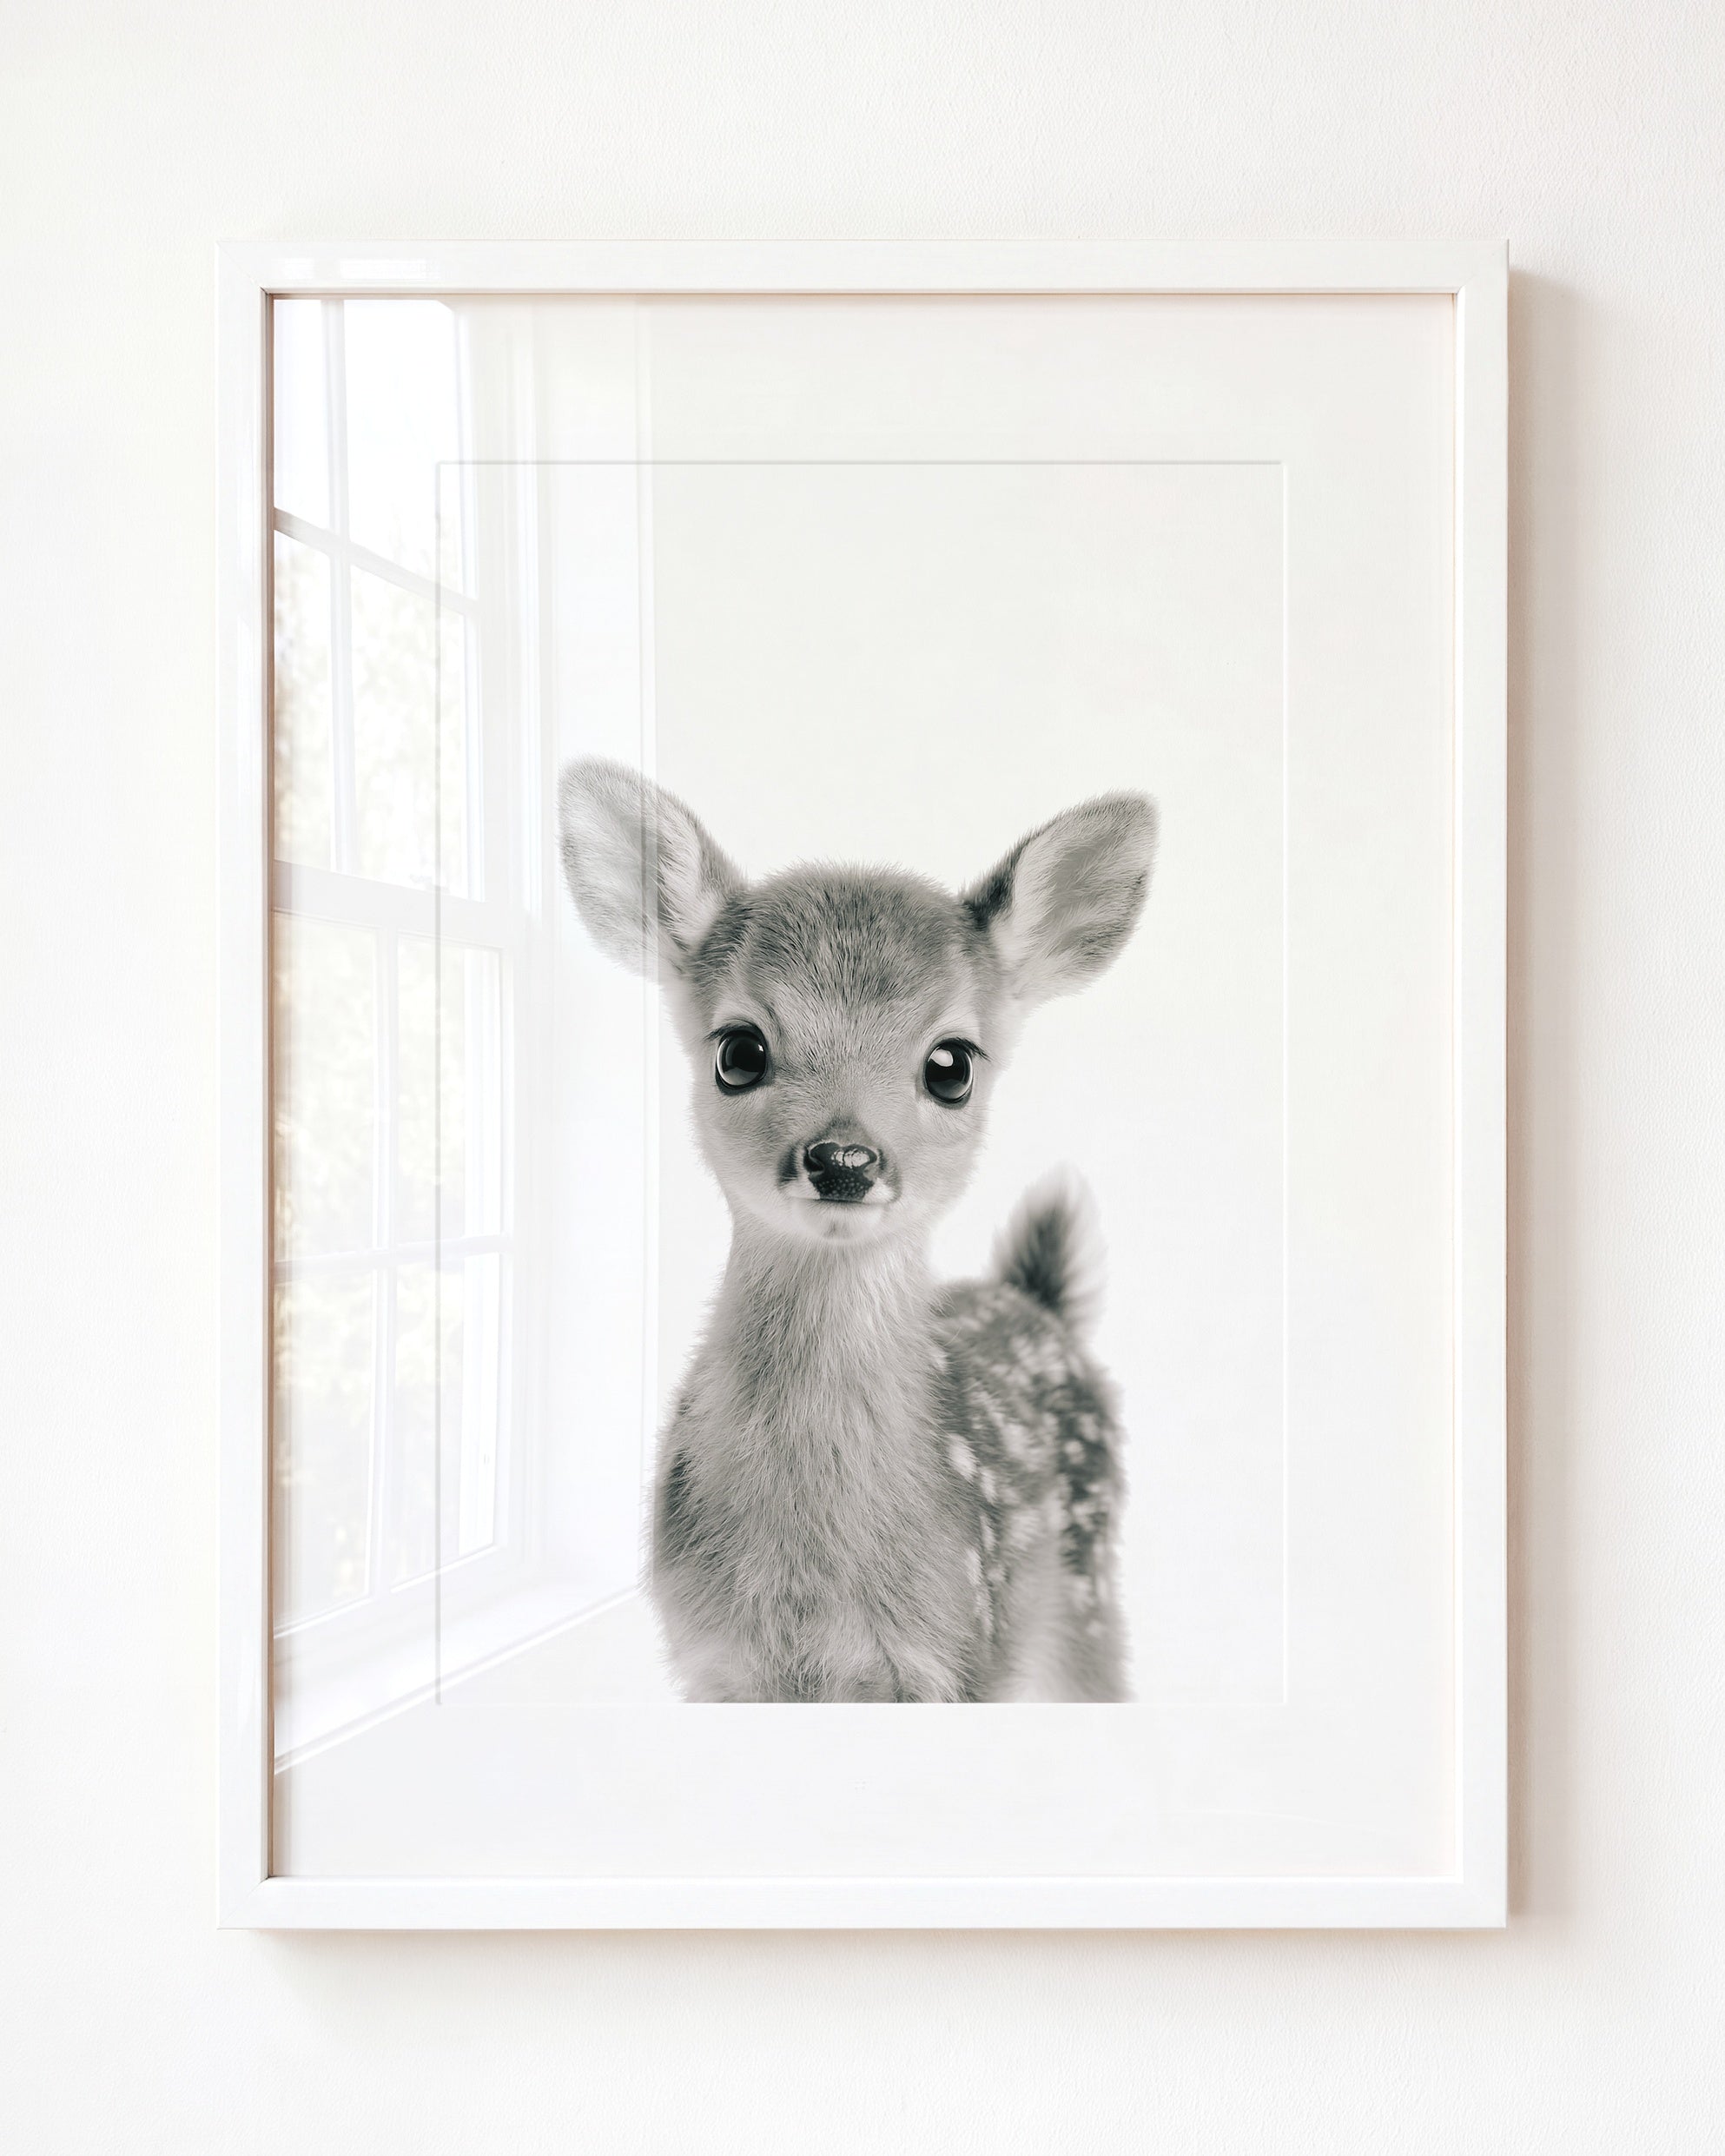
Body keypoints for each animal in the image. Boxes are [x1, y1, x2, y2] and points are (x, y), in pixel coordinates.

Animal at [558, 758, 1157, 1702]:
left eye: (952, 1065)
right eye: (738, 1051)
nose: (843, 1158)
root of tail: (1038, 1302)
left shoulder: (956, 1651)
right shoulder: (713, 1662)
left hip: (1085, 1602)